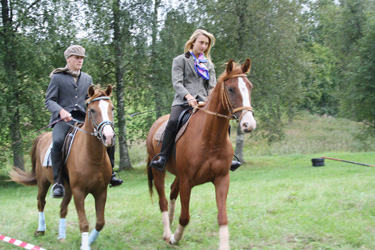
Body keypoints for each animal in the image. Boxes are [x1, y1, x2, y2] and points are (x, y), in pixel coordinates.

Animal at [10, 85, 116, 249]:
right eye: (92, 110)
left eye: (112, 108)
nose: (108, 137)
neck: (93, 156)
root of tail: (43, 137)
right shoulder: (79, 192)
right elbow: (84, 223)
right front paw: (85, 245)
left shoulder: (101, 191)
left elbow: (100, 222)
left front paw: (90, 241)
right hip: (43, 183)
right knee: (41, 202)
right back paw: (41, 230)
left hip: (67, 188)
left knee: (62, 208)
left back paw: (61, 236)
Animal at [148, 59, 258, 250]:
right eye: (231, 89)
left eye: (249, 87)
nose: (248, 124)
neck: (210, 139)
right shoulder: (187, 181)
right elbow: (185, 217)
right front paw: (175, 238)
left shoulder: (222, 179)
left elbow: (222, 218)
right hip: (158, 171)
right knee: (163, 200)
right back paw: (167, 233)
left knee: (172, 192)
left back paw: (170, 221)